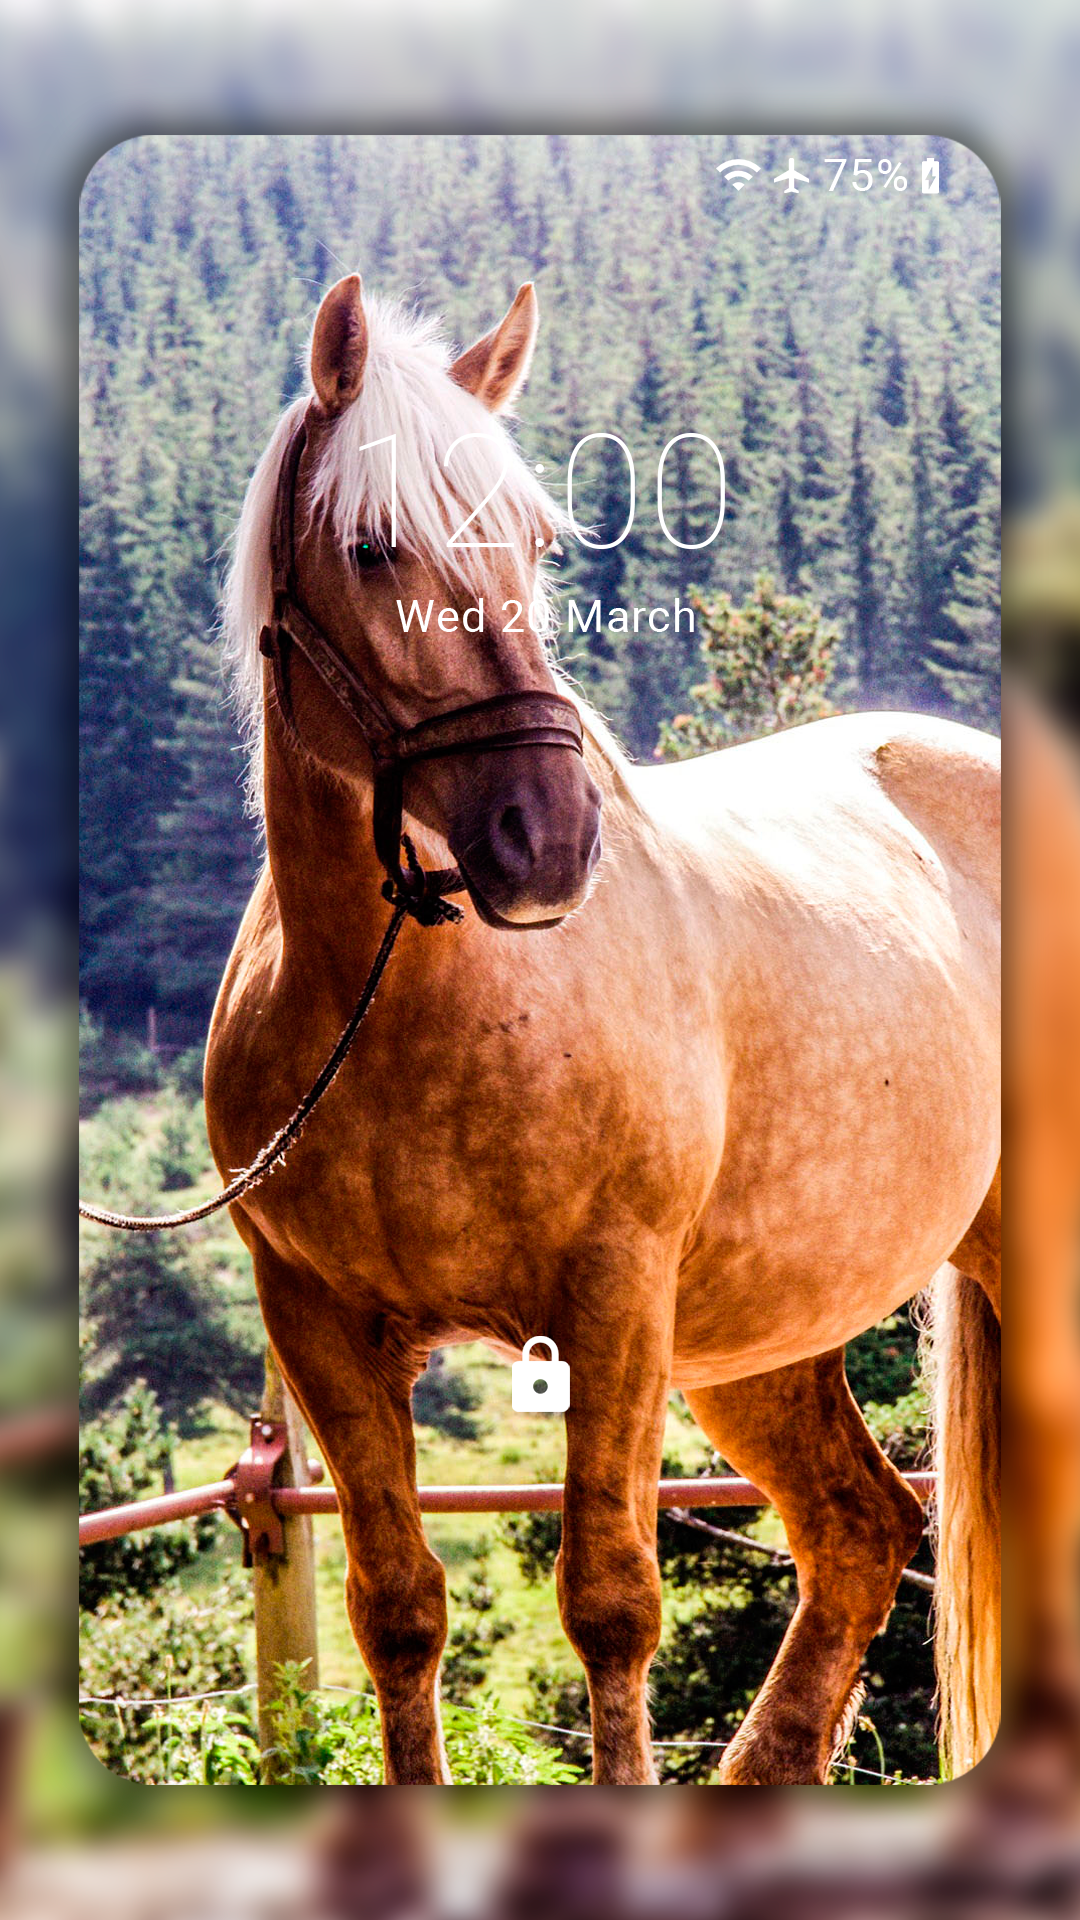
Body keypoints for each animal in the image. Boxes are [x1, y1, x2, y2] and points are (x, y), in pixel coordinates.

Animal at [206, 273, 1000, 1786]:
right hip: (761, 1338)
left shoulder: (613, 1300)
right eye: (375, 546)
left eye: (533, 540)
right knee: (861, 1531)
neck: (403, 1004)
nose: (550, 840)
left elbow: (611, 1603)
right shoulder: (321, 1323)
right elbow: (397, 1608)